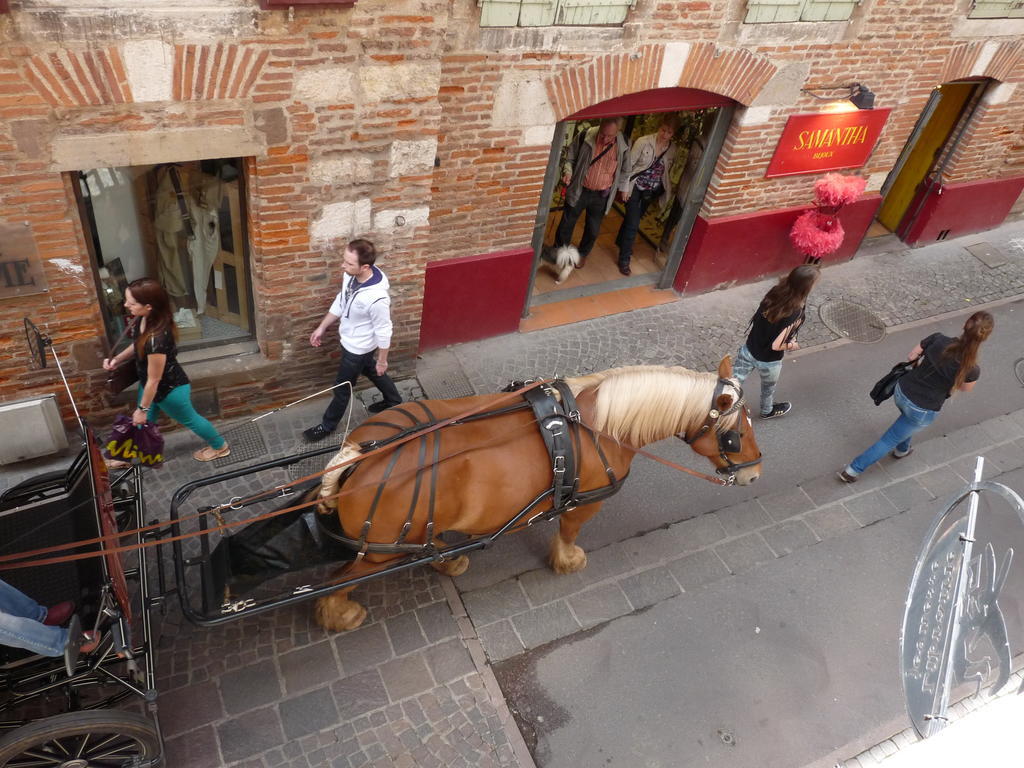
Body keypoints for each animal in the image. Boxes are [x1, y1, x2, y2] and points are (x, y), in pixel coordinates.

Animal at [311, 360, 761, 630]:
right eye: (736, 435)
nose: (755, 473)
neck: (598, 424)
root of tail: (359, 453)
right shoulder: (586, 502)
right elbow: (569, 531)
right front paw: (567, 561)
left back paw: (447, 558)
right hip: (377, 553)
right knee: (336, 582)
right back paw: (341, 614)